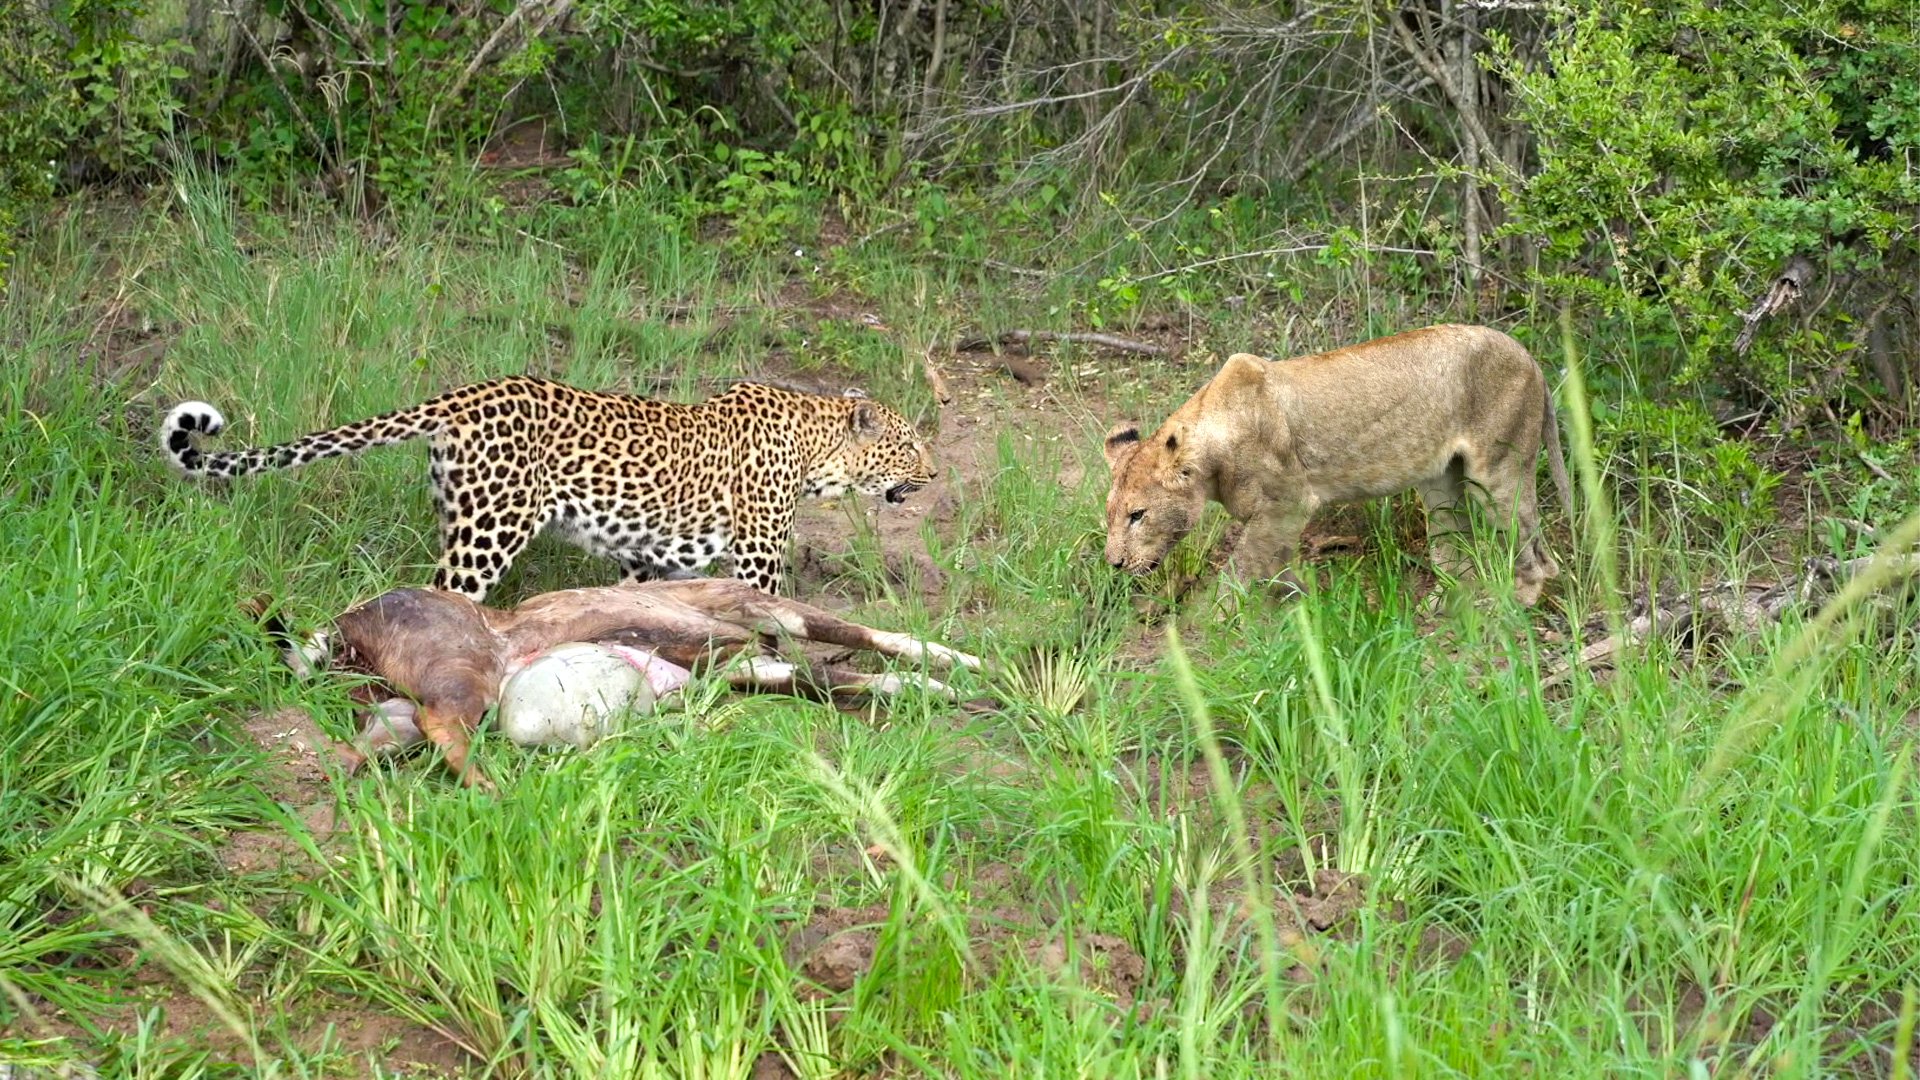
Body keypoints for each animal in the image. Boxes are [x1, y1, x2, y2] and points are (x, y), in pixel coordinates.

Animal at [158, 376, 935, 601]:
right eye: (911, 444)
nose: (934, 475)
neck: (815, 451)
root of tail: (463, 395)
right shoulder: (756, 561)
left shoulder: (646, 560)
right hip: (489, 534)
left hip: (460, 516)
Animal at [1101, 324, 1574, 606]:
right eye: (1111, 516)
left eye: (1137, 515)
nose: (1114, 564)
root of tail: (1530, 357)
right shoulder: (1279, 519)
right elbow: (1276, 566)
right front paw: (1296, 605)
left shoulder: (1288, 504)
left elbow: (1239, 570)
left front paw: (1209, 627)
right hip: (1441, 483)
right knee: (1455, 544)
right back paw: (1447, 603)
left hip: (1496, 470)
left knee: (1535, 550)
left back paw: (1515, 603)